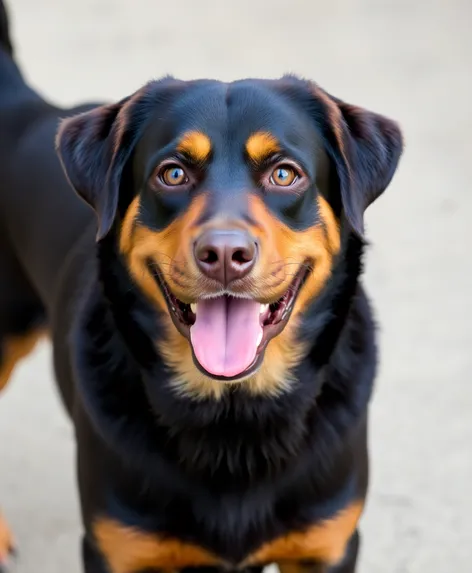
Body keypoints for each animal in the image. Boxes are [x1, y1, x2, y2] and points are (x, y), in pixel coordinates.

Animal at [0, 2, 404, 568]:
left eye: (285, 174)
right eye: (172, 173)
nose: (226, 256)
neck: (233, 411)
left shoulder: (327, 544)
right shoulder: (116, 548)